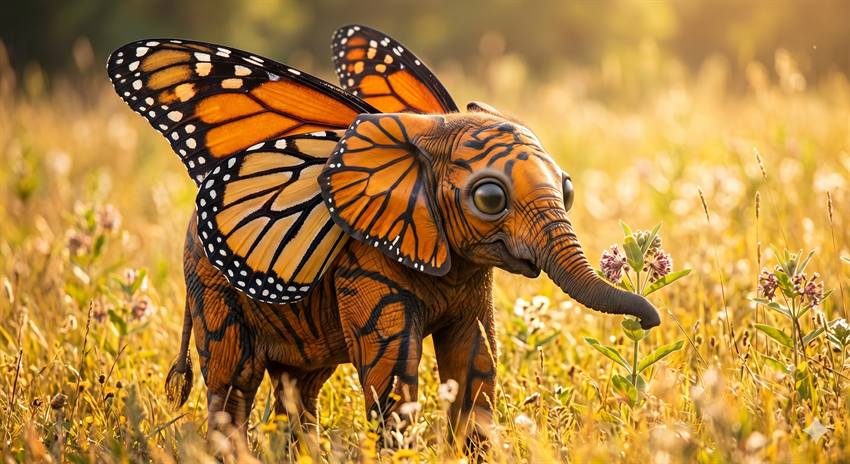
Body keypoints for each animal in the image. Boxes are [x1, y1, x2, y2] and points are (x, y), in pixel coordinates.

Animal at [106, 24, 660, 455]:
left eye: (568, 189)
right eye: (489, 198)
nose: (649, 320)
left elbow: (475, 360)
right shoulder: (368, 261)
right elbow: (391, 365)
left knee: (298, 385)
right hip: (215, 289)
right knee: (233, 382)